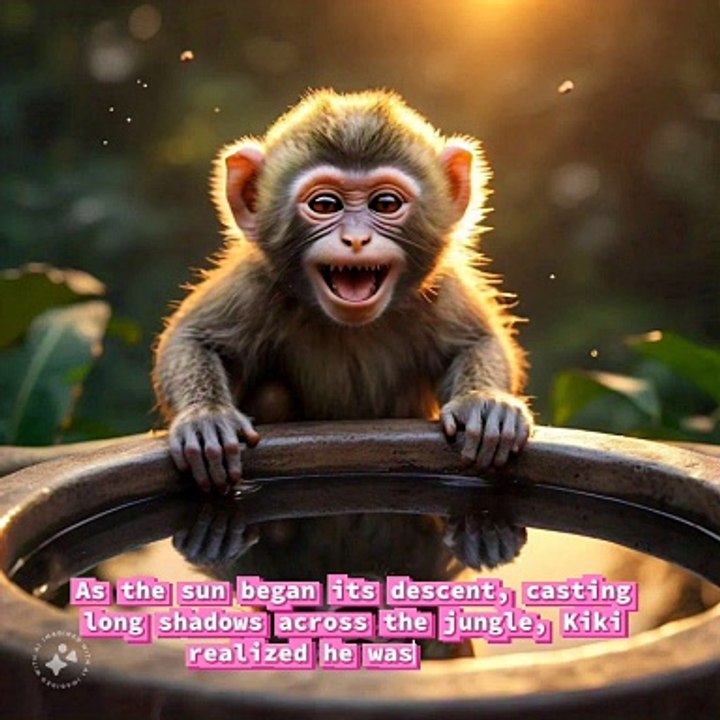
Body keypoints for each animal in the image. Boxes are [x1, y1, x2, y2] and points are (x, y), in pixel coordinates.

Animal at [153, 89, 532, 590]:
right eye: (326, 204)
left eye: (385, 203)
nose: (355, 240)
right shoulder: (257, 282)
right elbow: (192, 340)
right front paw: (205, 419)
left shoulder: (438, 286)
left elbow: (477, 342)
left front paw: (485, 406)